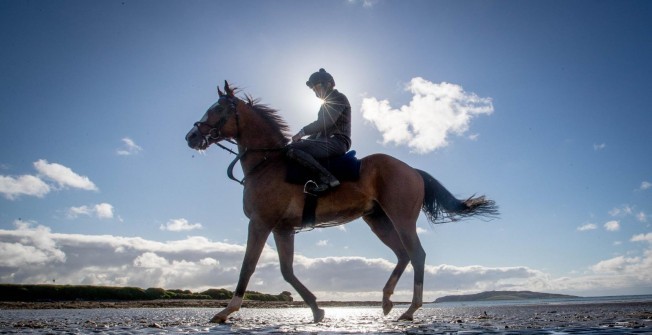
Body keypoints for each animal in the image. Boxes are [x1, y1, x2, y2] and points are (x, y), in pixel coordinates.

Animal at [186, 82, 496, 326]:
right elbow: (288, 271)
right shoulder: (282, 229)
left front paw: (226, 311)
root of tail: (412, 170)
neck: (267, 162)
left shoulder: (260, 223)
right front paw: (317, 309)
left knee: (416, 254)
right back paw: (386, 300)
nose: (191, 136)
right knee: (402, 255)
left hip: (401, 218)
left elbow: (247, 267)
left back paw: (409, 309)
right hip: (377, 220)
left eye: (218, 109)